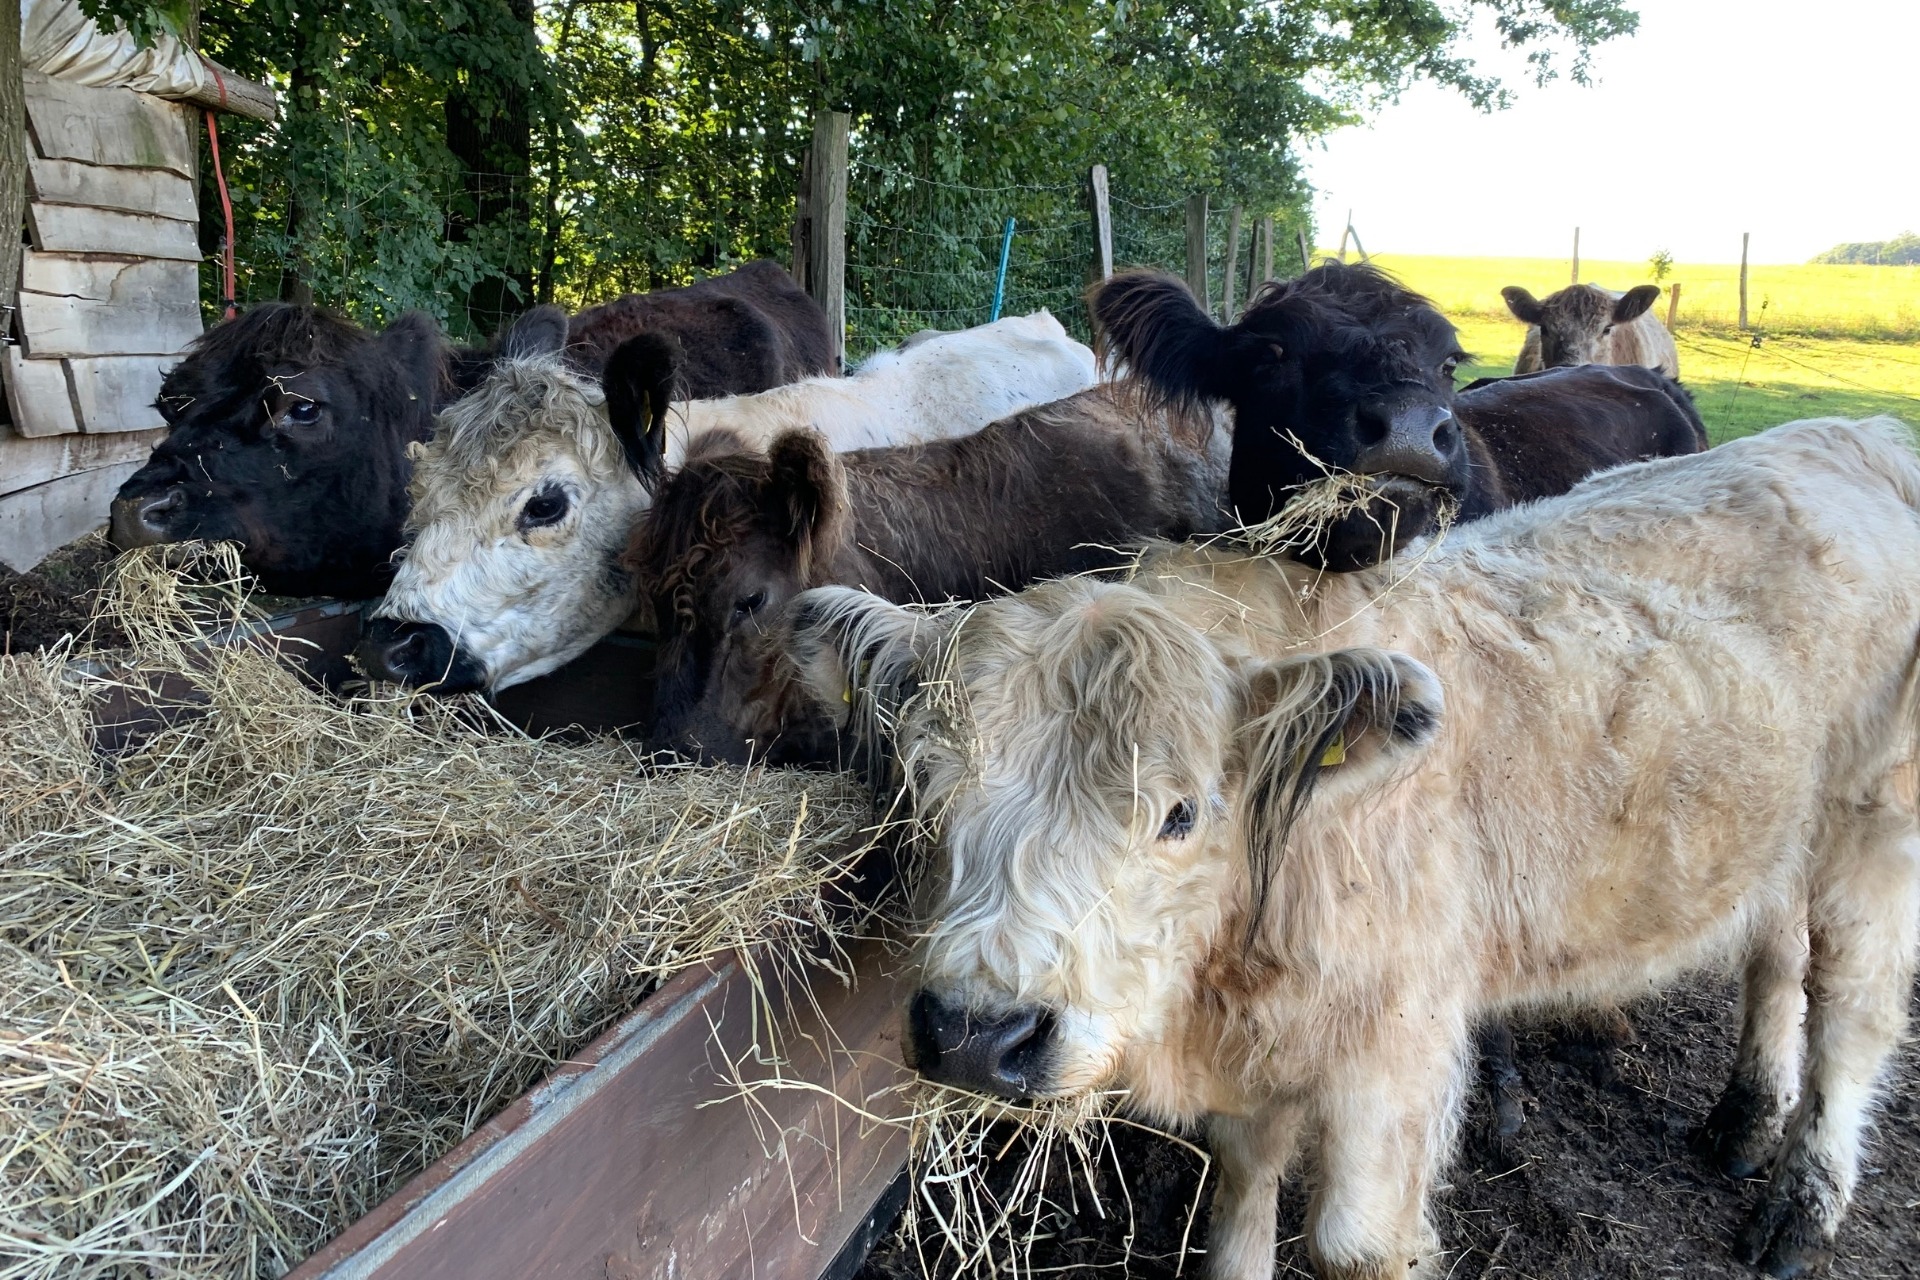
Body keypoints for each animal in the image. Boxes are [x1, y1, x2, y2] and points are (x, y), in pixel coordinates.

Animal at [781, 417, 1920, 1280]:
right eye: (928, 789)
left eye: (1181, 812)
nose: (978, 1033)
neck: (1226, 982)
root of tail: (1859, 431)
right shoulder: (1259, 1070)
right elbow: (1240, 1203)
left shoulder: (1397, 1060)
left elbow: (1357, 1246)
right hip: (1783, 836)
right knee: (1775, 954)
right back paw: (1743, 1123)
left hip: (1875, 832)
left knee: (1853, 1009)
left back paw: (1800, 1208)